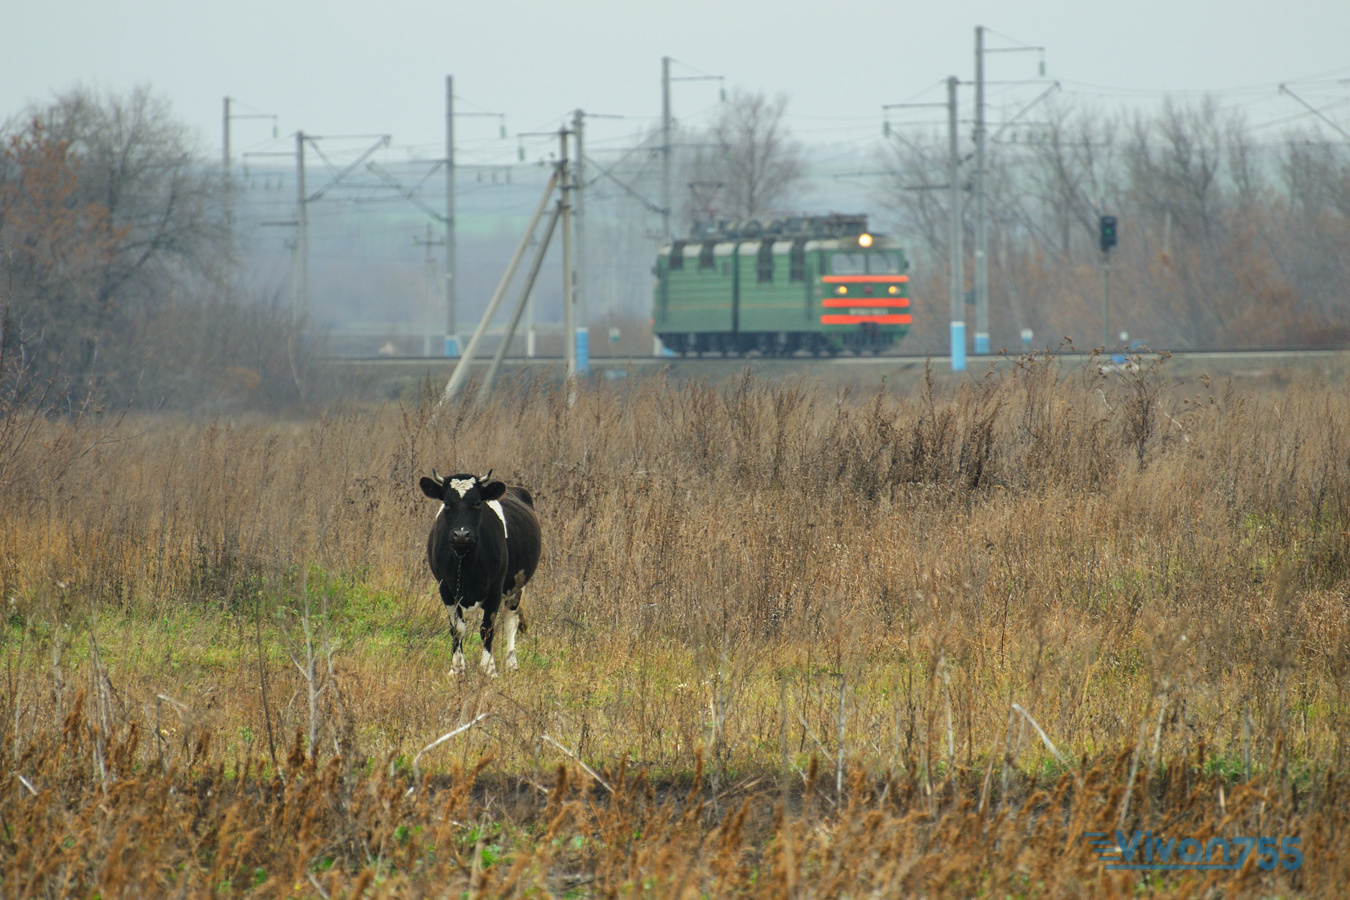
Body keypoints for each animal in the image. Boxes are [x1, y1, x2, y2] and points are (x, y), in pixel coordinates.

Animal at [419, 469, 542, 676]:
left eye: (477, 503)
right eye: (447, 503)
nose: (461, 535)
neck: (466, 562)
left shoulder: (495, 588)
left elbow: (487, 628)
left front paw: (489, 668)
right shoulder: (445, 588)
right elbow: (457, 628)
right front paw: (457, 668)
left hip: (515, 588)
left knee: (510, 622)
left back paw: (512, 664)